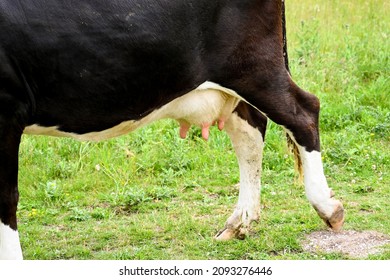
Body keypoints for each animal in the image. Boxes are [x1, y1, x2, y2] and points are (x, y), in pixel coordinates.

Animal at [0, 0, 342, 260]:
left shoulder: (7, 108)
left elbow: (6, 196)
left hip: (253, 65)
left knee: (304, 111)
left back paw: (328, 208)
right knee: (251, 131)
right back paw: (238, 223)